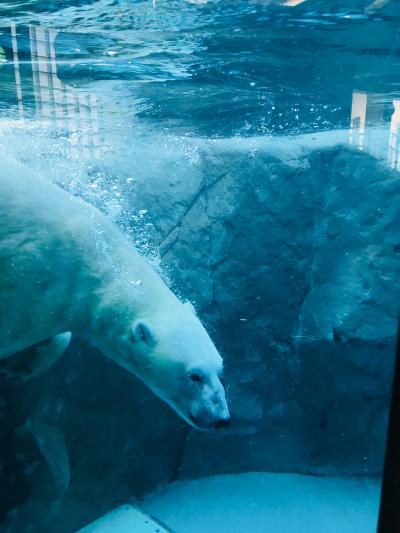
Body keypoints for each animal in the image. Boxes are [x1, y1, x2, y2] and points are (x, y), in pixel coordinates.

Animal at [0, 156, 230, 430]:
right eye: (194, 375)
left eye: (219, 369)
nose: (221, 419)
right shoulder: (34, 272)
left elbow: (59, 337)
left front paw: (20, 367)